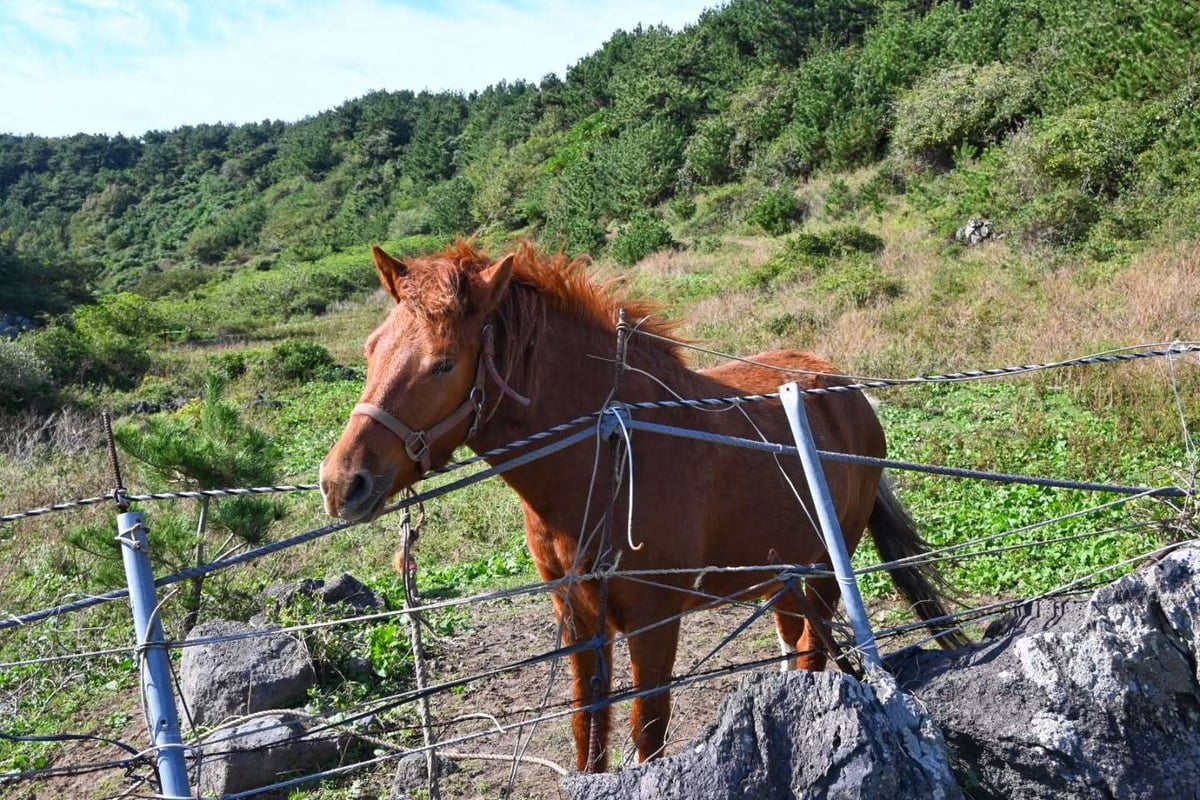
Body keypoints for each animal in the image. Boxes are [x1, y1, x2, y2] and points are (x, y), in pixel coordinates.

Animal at [321, 239, 964, 777]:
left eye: (443, 363)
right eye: (372, 350)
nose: (341, 482)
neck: (606, 459)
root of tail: (846, 391)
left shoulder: (654, 624)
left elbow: (647, 732)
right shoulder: (578, 620)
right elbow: (588, 730)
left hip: (826, 572)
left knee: (811, 654)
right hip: (784, 576)